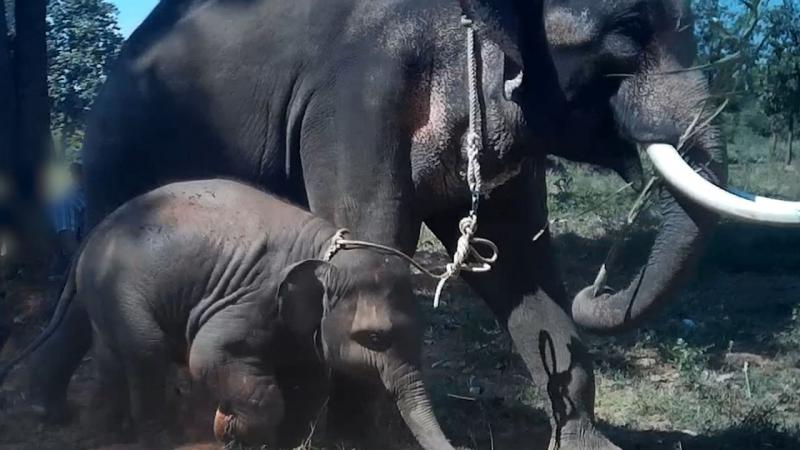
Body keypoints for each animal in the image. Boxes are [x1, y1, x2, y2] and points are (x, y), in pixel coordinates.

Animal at [0, 179, 459, 450]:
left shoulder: (295, 327)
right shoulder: (253, 298)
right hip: (120, 288)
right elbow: (209, 355)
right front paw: (229, 429)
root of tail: (92, 233)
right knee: (145, 349)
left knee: (101, 348)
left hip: (101, 292)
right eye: (376, 338)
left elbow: (307, 379)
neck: (325, 250)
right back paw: (150, 436)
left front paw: (282, 442)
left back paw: (89, 427)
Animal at [74, 0, 789, 448]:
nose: (600, 289)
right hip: (117, 143)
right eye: (632, 25)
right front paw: (355, 439)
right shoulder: (355, 93)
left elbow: (521, 263)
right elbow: (371, 229)